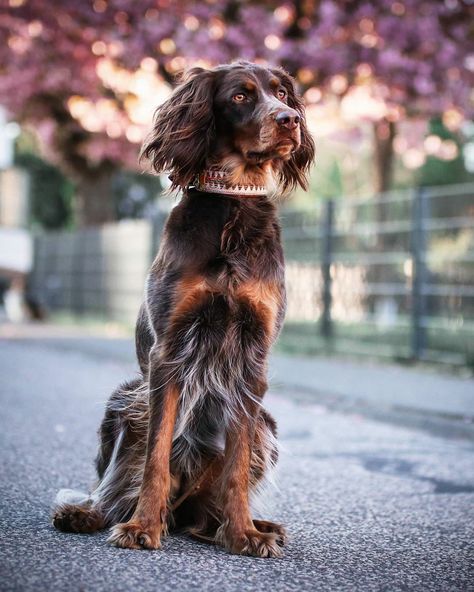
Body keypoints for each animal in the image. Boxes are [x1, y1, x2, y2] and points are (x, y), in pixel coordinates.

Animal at [51, 62, 314, 556]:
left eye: (283, 93)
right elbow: (155, 456)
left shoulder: (253, 358)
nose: (289, 119)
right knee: (113, 489)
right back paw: (89, 514)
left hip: (267, 425)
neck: (232, 205)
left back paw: (253, 525)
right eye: (240, 96)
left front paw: (244, 534)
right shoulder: (168, 352)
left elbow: (236, 465)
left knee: (207, 510)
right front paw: (141, 527)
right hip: (124, 400)